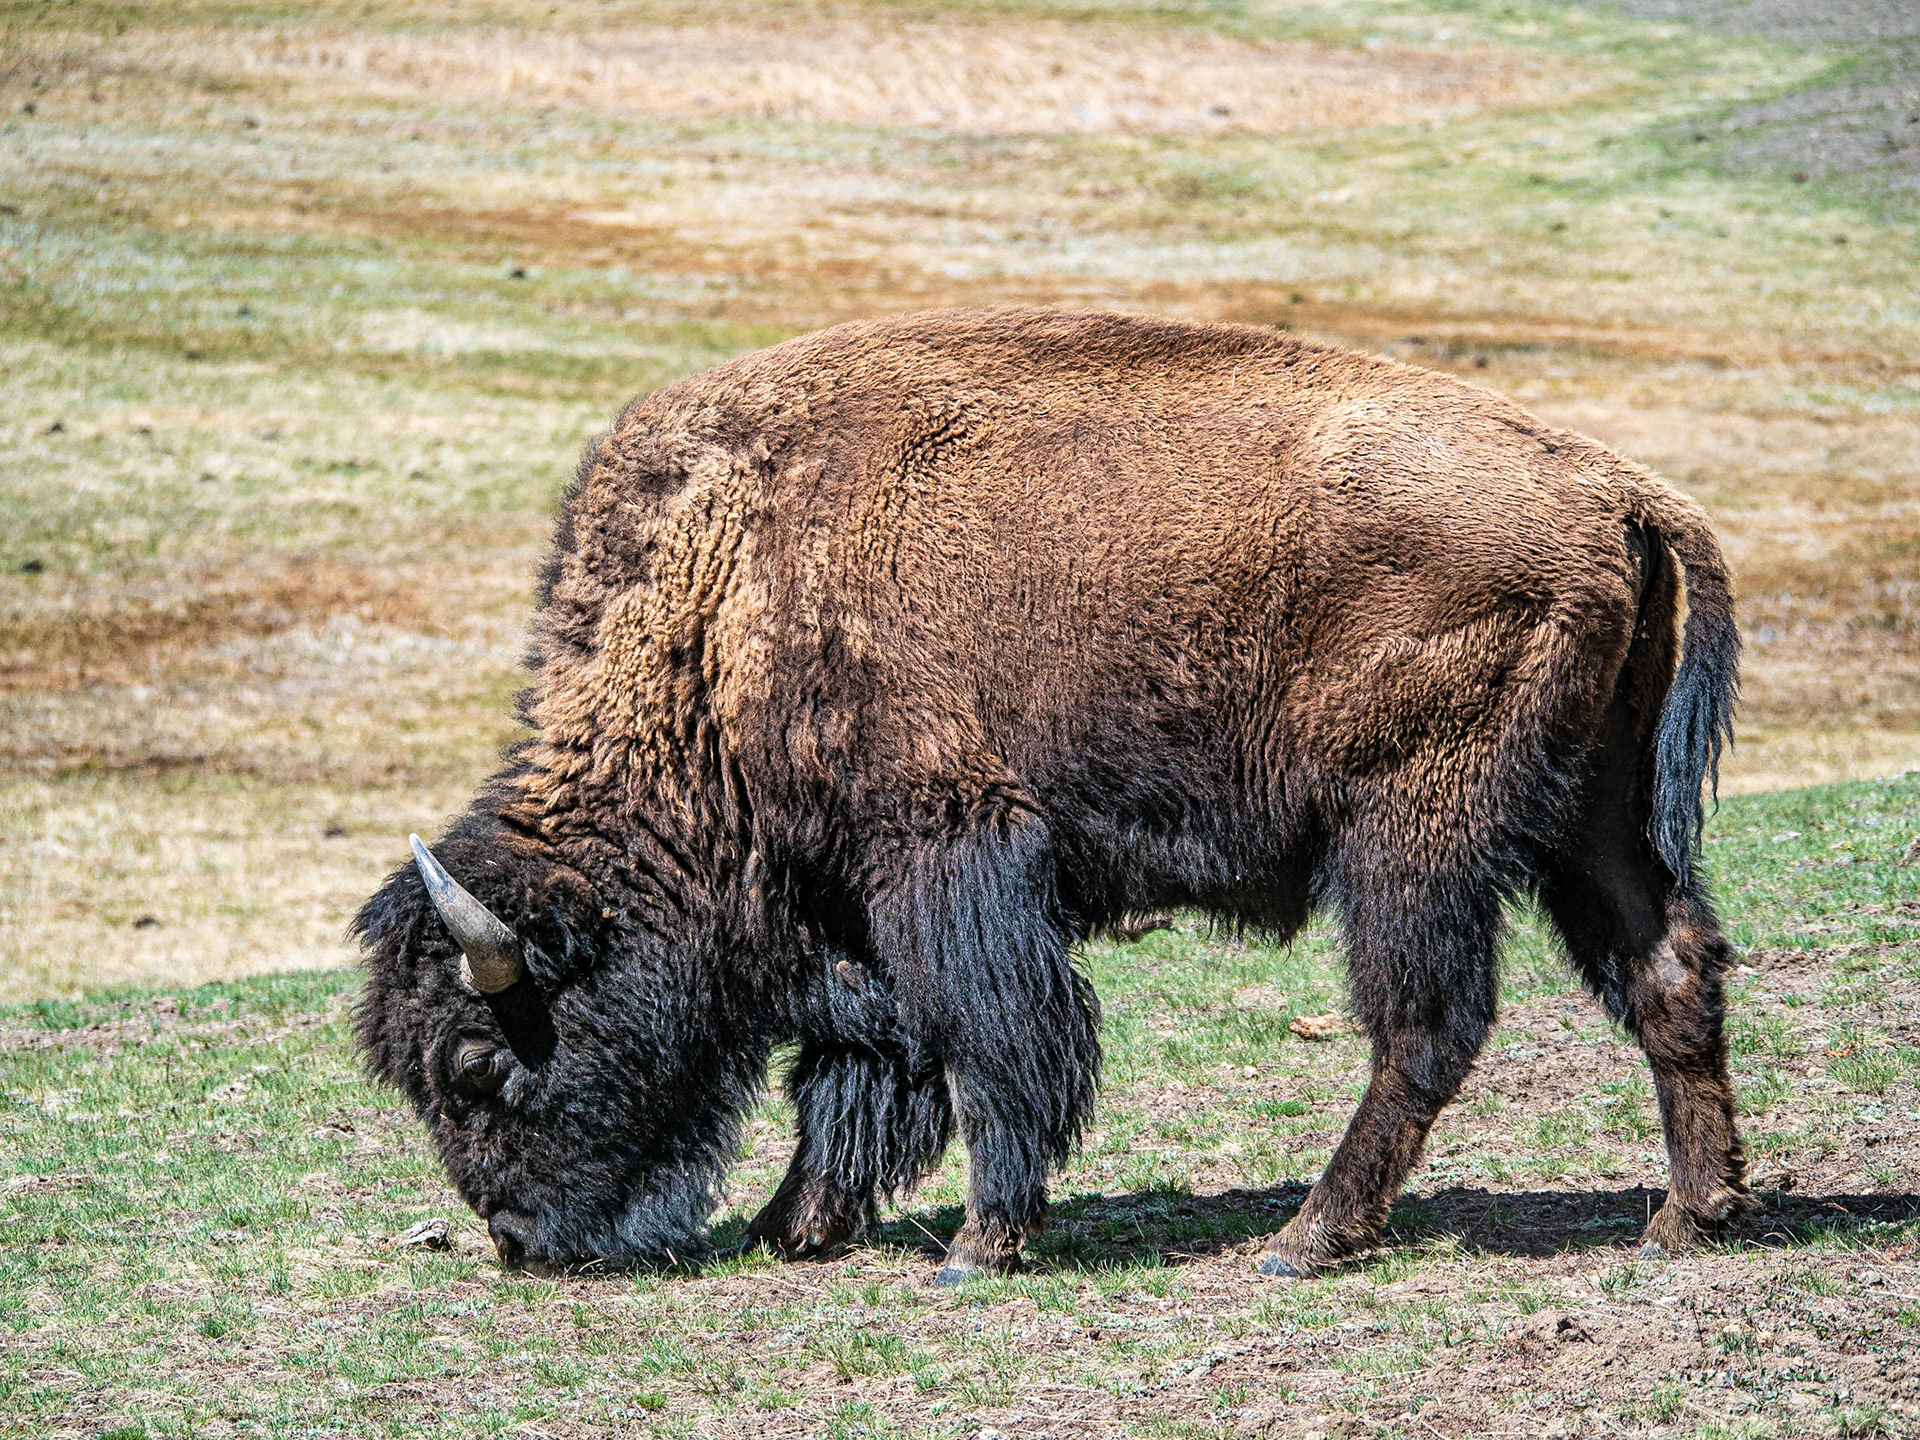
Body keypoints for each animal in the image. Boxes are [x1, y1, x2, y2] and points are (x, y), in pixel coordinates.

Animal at [355, 307, 1748, 1282]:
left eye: (477, 1063)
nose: (521, 1241)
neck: (727, 588)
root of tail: (1620, 491)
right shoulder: (852, 897)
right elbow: (861, 1057)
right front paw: (794, 1223)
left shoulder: (945, 852)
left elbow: (983, 1036)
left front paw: (981, 1244)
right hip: (1590, 813)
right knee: (1668, 967)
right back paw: (1691, 1216)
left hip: (1409, 833)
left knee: (1426, 1023)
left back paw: (1307, 1238)